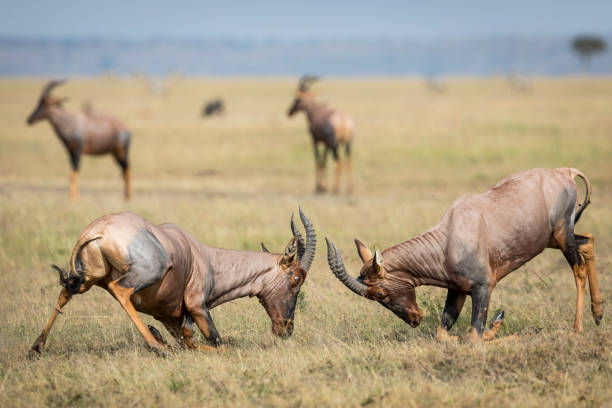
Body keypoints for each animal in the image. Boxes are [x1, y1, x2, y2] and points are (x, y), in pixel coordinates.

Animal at [28, 209, 316, 356]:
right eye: (296, 278)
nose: (286, 329)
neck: (203, 256)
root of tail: (96, 231)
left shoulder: (169, 318)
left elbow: (187, 341)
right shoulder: (197, 306)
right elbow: (218, 343)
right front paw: (163, 342)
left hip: (87, 278)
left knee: (66, 292)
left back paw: (36, 347)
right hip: (146, 272)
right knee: (120, 290)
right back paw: (158, 347)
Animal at [326, 167, 604, 342]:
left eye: (380, 294)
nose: (415, 319)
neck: (449, 237)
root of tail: (564, 172)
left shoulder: (483, 288)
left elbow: (473, 339)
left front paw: (524, 331)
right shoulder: (458, 290)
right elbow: (444, 335)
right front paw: (498, 323)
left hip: (561, 235)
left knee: (578, 268)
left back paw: (576, 329)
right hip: (552, 239)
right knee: (588, 241)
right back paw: (599, 313)